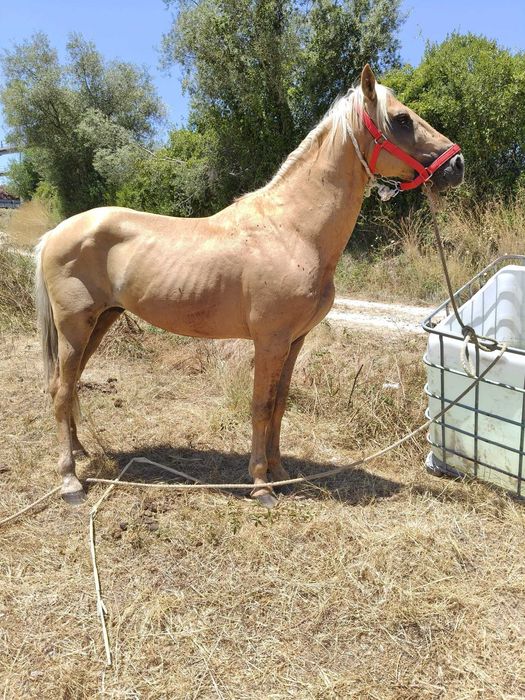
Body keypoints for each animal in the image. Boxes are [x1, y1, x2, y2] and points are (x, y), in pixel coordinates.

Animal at [35, 65, 464, 507]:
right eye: (401, 119)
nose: (457, 164)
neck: (292, 230)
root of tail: (55, 234)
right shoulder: (269, 340)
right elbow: (261, 405)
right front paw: (260, 484)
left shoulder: (294, 340)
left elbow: (279, 405)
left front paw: (282, 473)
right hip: (75, 327)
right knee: (61, 390)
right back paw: (70, 480)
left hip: (100, 322)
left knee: (68, 386)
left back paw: (81, 451)